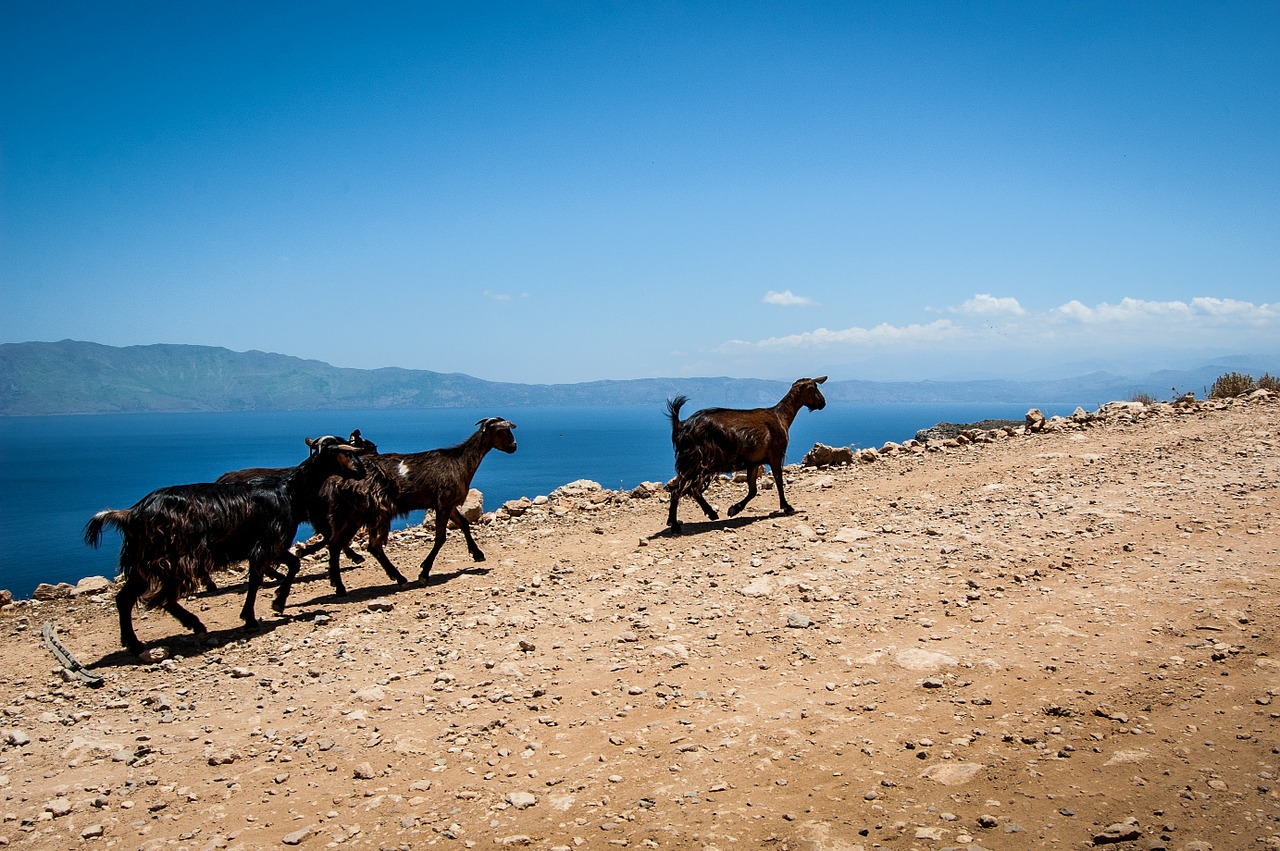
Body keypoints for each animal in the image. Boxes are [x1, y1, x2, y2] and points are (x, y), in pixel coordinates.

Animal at [84, 435, 366, 660]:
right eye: (345, 452)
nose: (362, 471)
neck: (289, 491)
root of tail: (131, 513)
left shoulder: (273, 544)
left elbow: (293, 564)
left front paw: (278, 601)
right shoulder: (267, 543)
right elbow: (257, 579)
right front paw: (252, 616)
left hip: (145, 561)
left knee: (127, 598)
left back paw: (139, 641)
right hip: (169, 557)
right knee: (160, 596)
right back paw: (187, 624)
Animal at [660, 376, 829, 532]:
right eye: (814, 387)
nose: (823, 403)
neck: (781, 417)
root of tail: (682, 425)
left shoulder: (754, 462)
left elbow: (753, 490)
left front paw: (734, 509)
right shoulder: (775, 455)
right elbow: (779, 481)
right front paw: (787, 507)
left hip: (697, 463)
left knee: (689, 489)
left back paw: (706, 514)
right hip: (697, 461)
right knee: (681, 490)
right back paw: (675, 524)